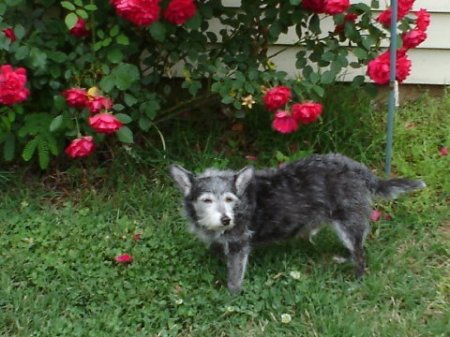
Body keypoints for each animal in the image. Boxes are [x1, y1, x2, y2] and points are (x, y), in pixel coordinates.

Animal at [170, 154, 426, 292]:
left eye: (229, 199)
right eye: (207, 199)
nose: (226, 219)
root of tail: (360, 170)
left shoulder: (239, 245)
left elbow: (234, 275)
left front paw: (231, 296)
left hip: (348, 223)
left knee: (361, 254)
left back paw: (357, 281)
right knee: (358, 249)